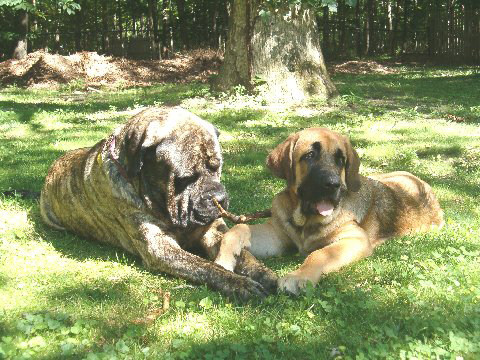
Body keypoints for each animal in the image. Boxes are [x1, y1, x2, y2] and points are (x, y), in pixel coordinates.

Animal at [41, 107, 278, 300]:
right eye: (185, 179)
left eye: (217, 167)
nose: (219, 199)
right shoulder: (160, 247)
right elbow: (206, 267)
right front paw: (239, 283)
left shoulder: (213, 231)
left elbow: (243, 255)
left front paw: (265, 273)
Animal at [216, 126, 444, 296]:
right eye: (309, 155)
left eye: (340, 159)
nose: (333, 184)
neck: (305, 221)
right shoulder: (277, 235)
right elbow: (240, 228)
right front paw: (225, 256)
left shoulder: (355, 240)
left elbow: (319, 254)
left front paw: (299, 277)